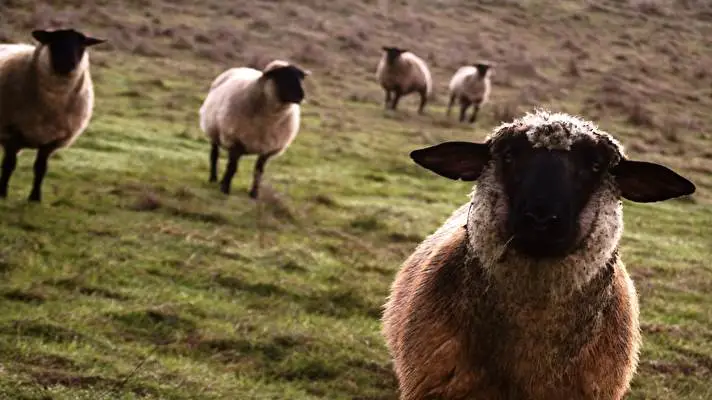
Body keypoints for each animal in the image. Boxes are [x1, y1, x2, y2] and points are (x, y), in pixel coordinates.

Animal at [0, 28, 105, 202]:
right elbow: (9, 165)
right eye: (54, 40)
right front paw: (3, 194)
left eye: (81, 45)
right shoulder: (13, 131)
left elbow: (40, 168)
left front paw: (35, 198)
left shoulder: (51, 141)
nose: (68, 64)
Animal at [199, 59, 309, 198]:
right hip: (214, 131)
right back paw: (213, 178)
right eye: (282, 76)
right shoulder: (235, 140)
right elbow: (232, 167)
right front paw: (225, 189)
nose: (301, 96)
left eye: (300, 78)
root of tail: (242, 68)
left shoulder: (267, 148)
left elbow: (258, 171)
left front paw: (254, 194)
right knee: (214, 155)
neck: (269, 119)